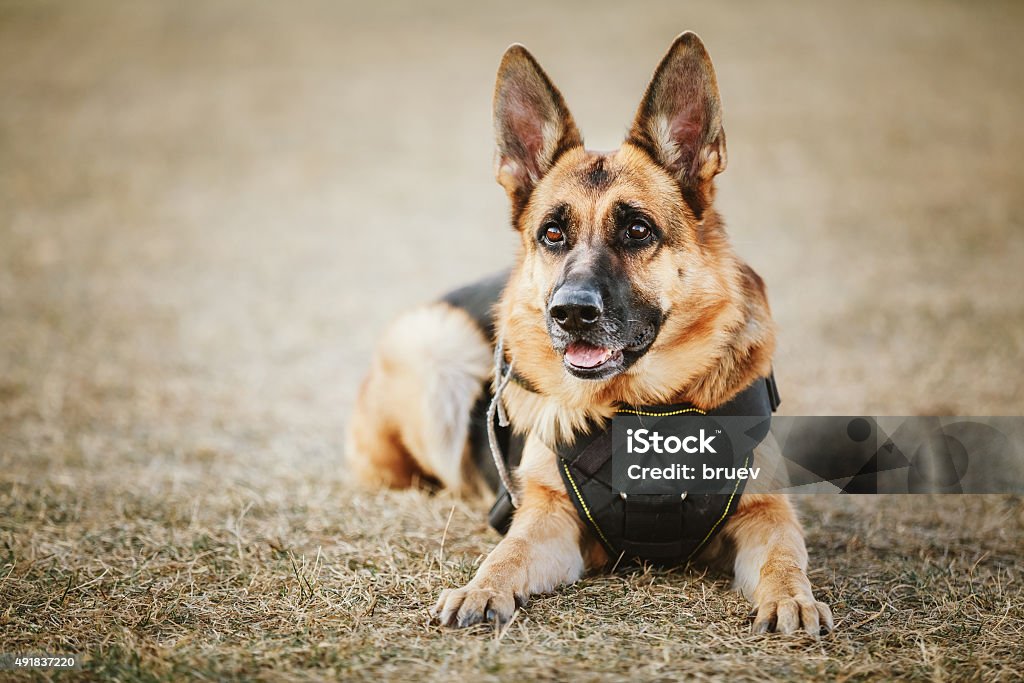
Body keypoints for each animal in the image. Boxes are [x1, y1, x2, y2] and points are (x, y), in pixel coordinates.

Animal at [344, 33, 831, 634]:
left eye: (637, 229)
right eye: (553, 233)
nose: (571, 313)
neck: (644, 408)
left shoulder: (765, 510)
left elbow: (785, 554)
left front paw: (792, 598)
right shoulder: (547, 516)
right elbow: (506, 552)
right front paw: (480, 587)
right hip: (434, 344)